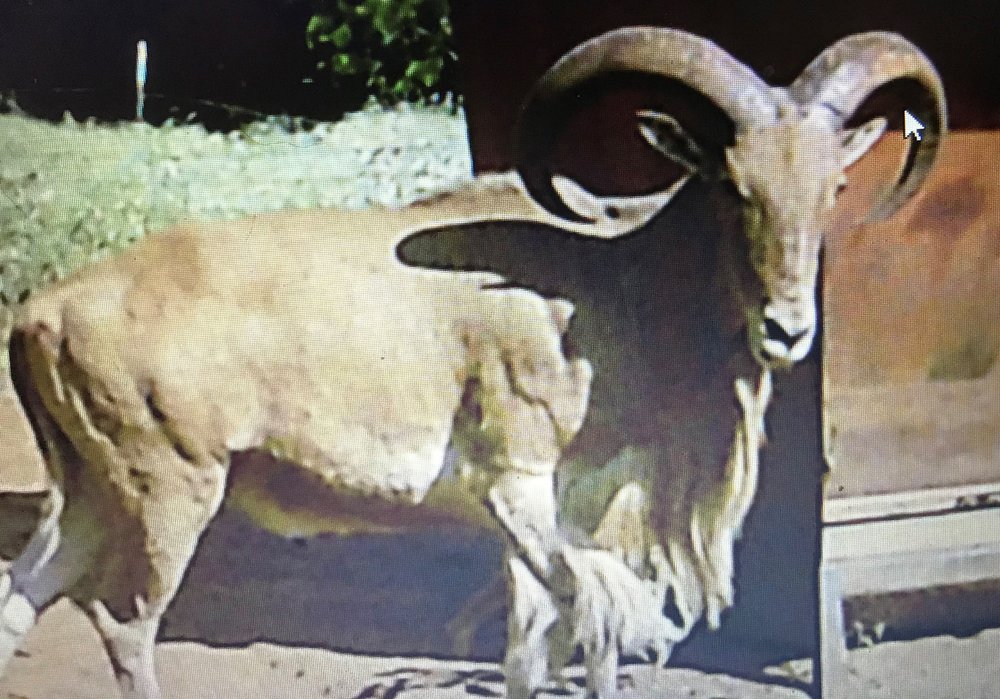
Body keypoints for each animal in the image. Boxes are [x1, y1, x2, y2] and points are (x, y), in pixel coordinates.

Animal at [0, 172, 682, 699]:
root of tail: (43, 313)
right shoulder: (525, 487)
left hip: (87, 494)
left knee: (24, 589)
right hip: (166, 492)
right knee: (125, 624)